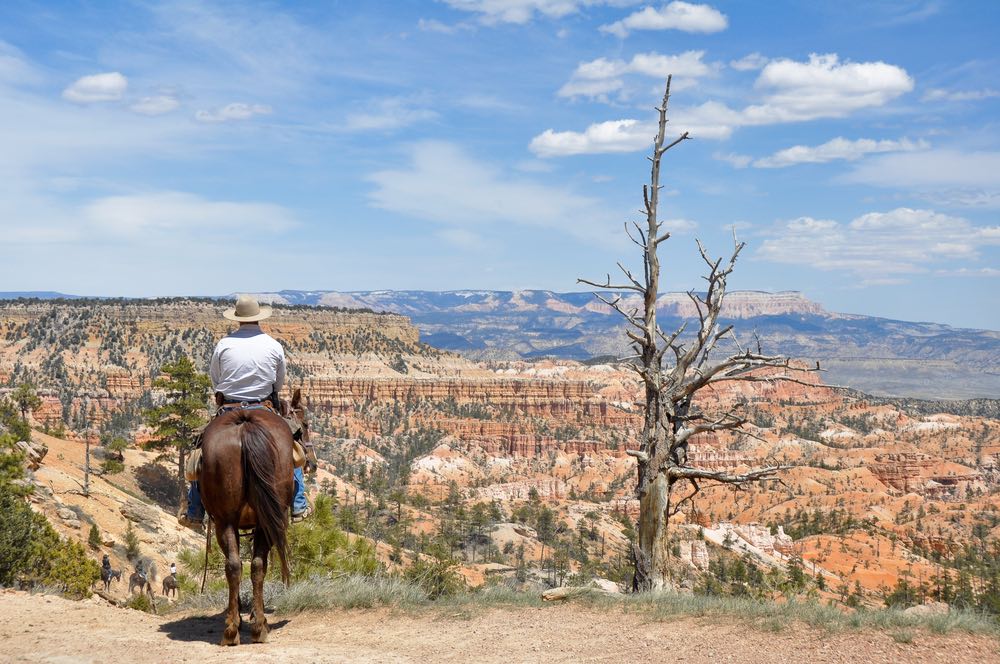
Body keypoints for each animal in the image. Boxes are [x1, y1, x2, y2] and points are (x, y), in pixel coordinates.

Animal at [198, 390, 298, 644]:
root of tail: (244, 424)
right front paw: (252, 616)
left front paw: (245, 616)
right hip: (250, 521)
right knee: (253, 565)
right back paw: (254, 627)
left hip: (226, 520)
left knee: (238, 565)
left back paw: (233, 629)